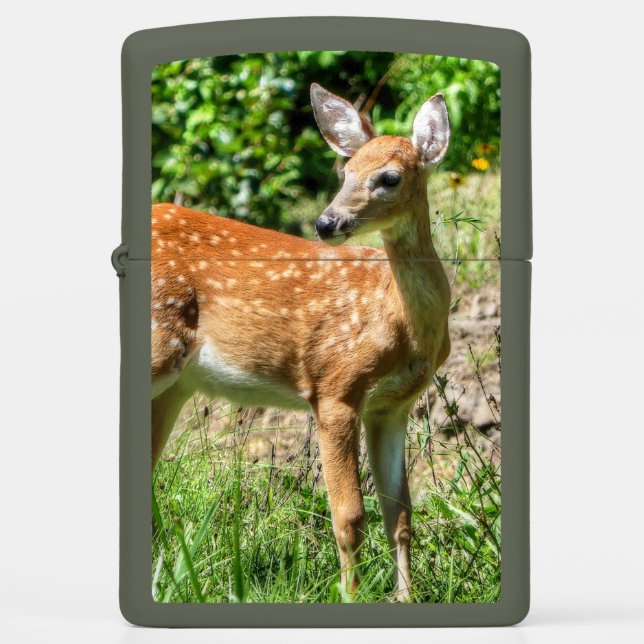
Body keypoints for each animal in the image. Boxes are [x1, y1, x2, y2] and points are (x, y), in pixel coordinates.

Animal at [151, 83, 451, 601]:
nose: (326, 223)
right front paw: (352, 596)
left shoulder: (393, 405)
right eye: (345, 171)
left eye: (390, 177)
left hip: (176, 385)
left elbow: (400, 515)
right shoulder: (335, 386)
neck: (400, 323)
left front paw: (405, 597)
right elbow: (350, 517)